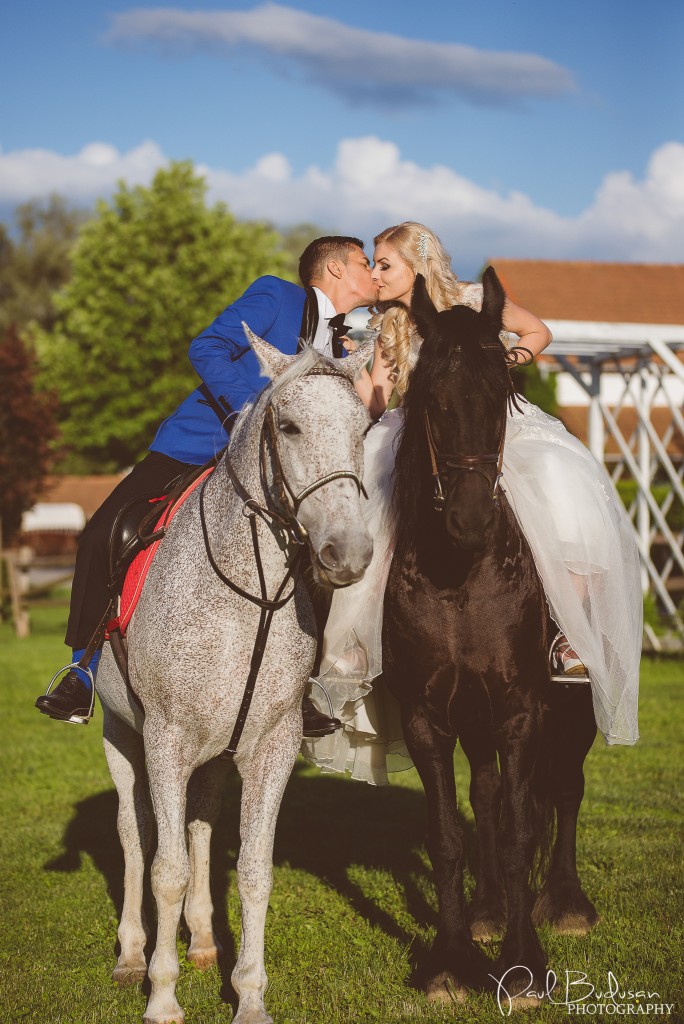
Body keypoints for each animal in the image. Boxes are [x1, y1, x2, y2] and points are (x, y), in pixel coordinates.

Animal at [385, 268, 597, 1003]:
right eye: (434, 402)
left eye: (501, 401)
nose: (473, 517)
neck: (461, 578)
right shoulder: (427, 715)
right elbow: (452, 834)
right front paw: (452, 960)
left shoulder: (520, 711)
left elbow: (520, 833)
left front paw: (525, 964)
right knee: (487, 796)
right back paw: (486, 911)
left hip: (571, 707)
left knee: (564, 790)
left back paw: (565, 903)